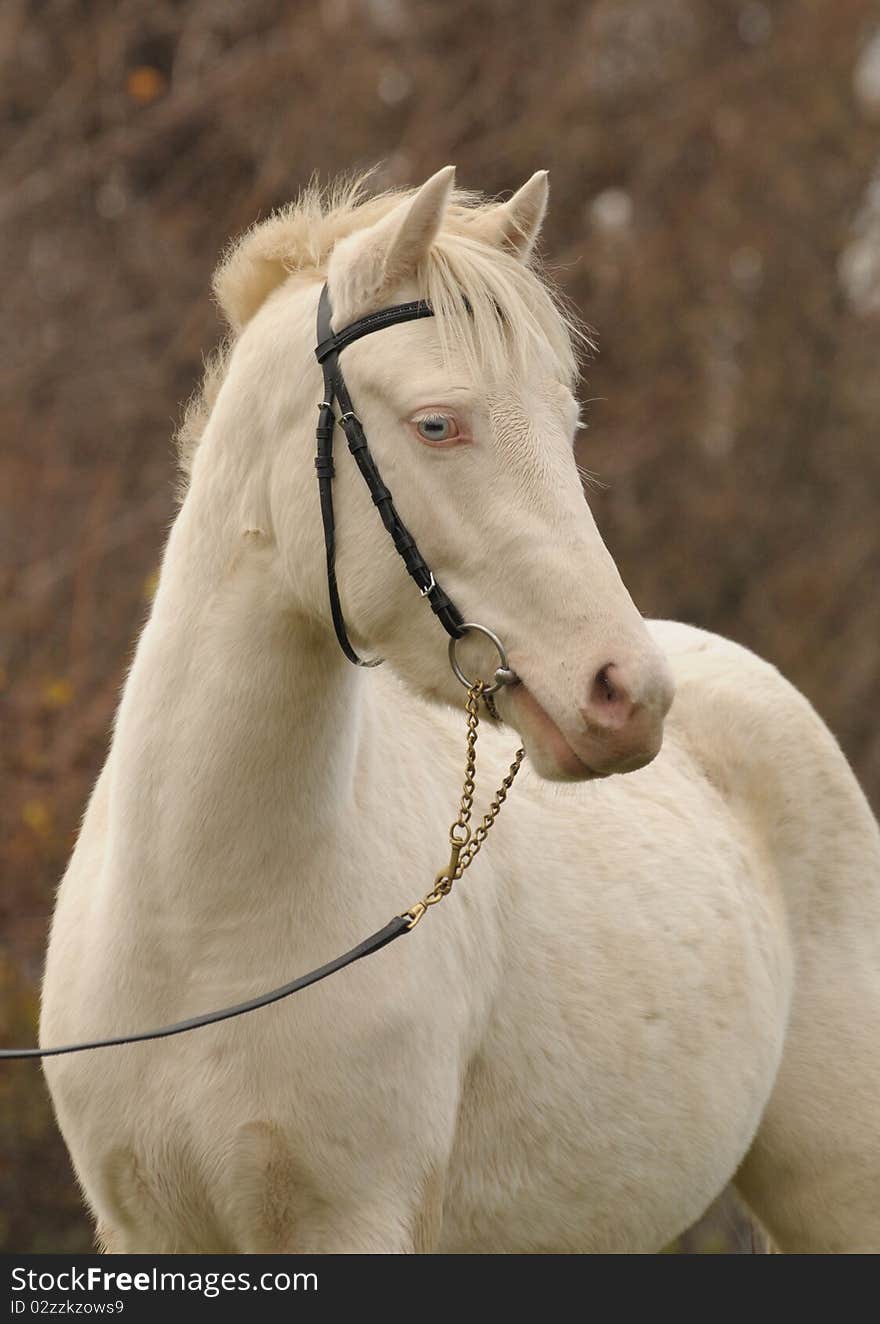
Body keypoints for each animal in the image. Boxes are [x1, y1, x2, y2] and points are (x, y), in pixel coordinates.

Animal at [41, 170, 878, 1255]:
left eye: (566, 426)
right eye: (437, 424)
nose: (628, 695)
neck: (200, 932)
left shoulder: (354, 1224)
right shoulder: (149, 1236)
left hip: (840, 1189)